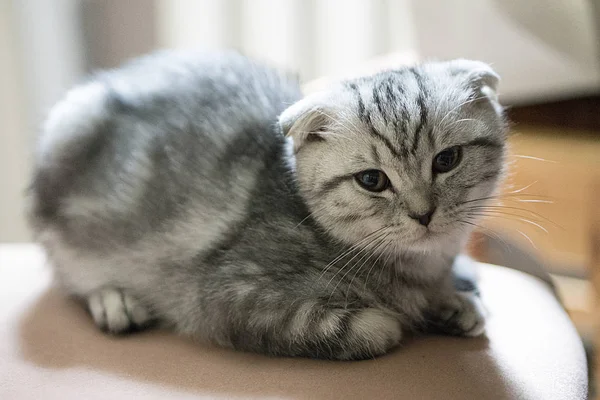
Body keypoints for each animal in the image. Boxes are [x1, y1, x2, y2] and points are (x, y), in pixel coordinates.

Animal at [28, 49, 506, 360]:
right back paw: (115, 300)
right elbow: (373, 327)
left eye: (447, 160)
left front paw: (451, 301)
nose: (423, 214)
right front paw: (404, 315)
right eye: (372, 180)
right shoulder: (226, 297)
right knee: (68, 273)